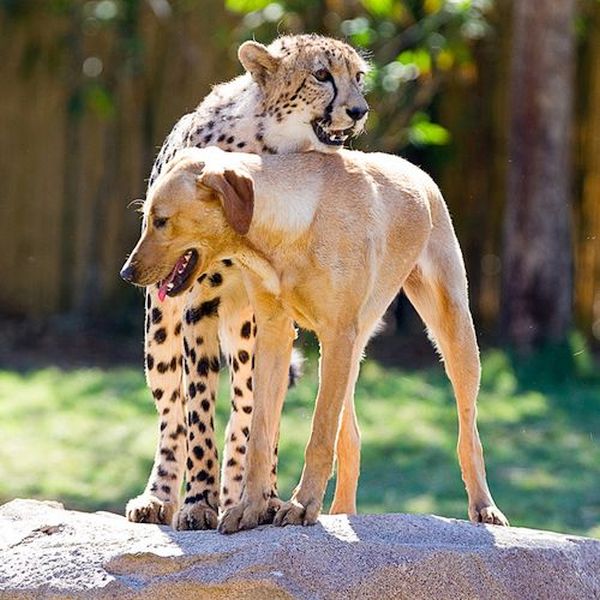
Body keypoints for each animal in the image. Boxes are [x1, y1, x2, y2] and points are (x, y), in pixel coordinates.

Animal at [119, 148, 508, 532]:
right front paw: (250, 508)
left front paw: (302, 505)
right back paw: (343, 511)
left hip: (452, 333)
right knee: (351, 437)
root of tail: (417, 172)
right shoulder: (274, 336)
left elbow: (319, 436)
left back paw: (484, 507)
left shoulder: (336, 336)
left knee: (468, 434)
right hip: (352, 353)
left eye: (161, 220)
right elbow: (259, 437)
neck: (290, 228)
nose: (126, 273)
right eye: (147, 218)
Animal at [125, 34, 370, 528]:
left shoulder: (269, 317)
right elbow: (197, 412)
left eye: (358, 76)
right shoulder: (199, 304)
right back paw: (160, 496)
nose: (359, 110)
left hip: (242, 331)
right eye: (321, 75)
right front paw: (199, 501)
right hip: (160, 331)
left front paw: (265, 497)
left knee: (243, 410)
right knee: (170, 414)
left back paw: (238, 492)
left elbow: (261, 418)